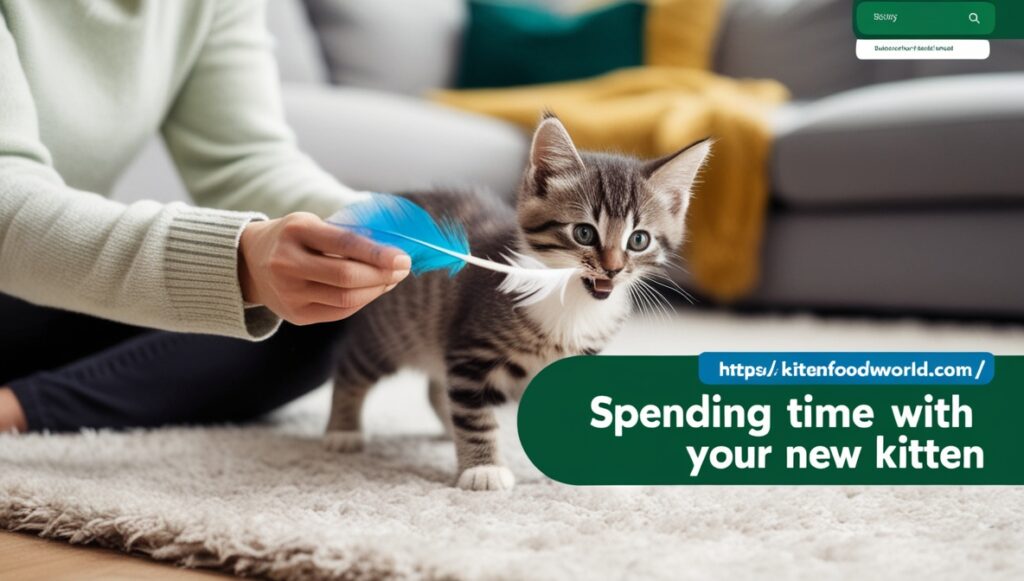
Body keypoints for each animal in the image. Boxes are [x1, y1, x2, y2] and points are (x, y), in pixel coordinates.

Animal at [323, 115, 708, 489]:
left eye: (639, 240)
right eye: (584, 233)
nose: (612, 270)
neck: (573, 302)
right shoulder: (472, 352)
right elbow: (476, 415)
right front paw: (483, 469)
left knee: (437, 387)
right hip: (390, 332)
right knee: (353, 368)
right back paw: (342, 431)